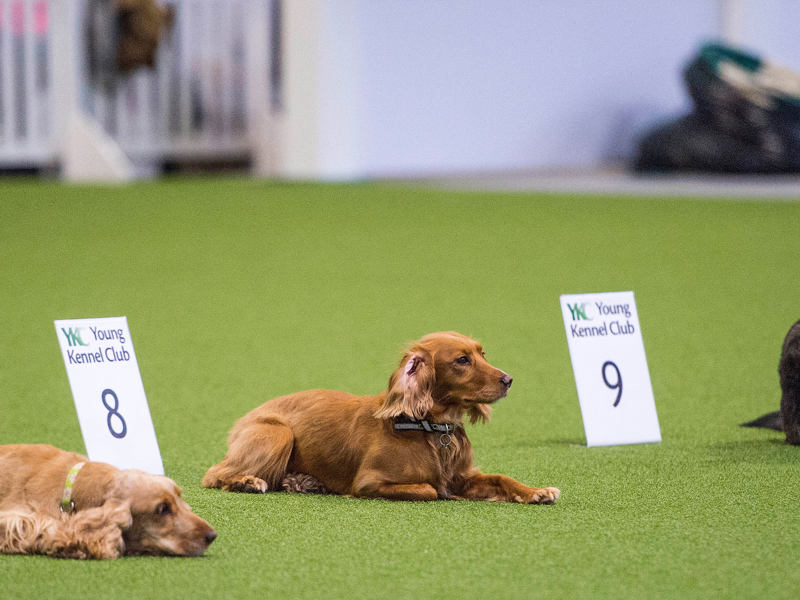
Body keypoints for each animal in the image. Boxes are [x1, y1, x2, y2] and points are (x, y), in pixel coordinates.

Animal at [203, 330, 560, 504]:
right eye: (462, 360)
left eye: (482, 354)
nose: (509, 379)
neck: (430, 427)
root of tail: (246, 415)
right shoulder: (369, 481)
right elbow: (430, 489)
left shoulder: (463, 474)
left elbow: (501, 479)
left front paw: (536, 492)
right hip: (278, 434)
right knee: (213, 474)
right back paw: (248, 481)